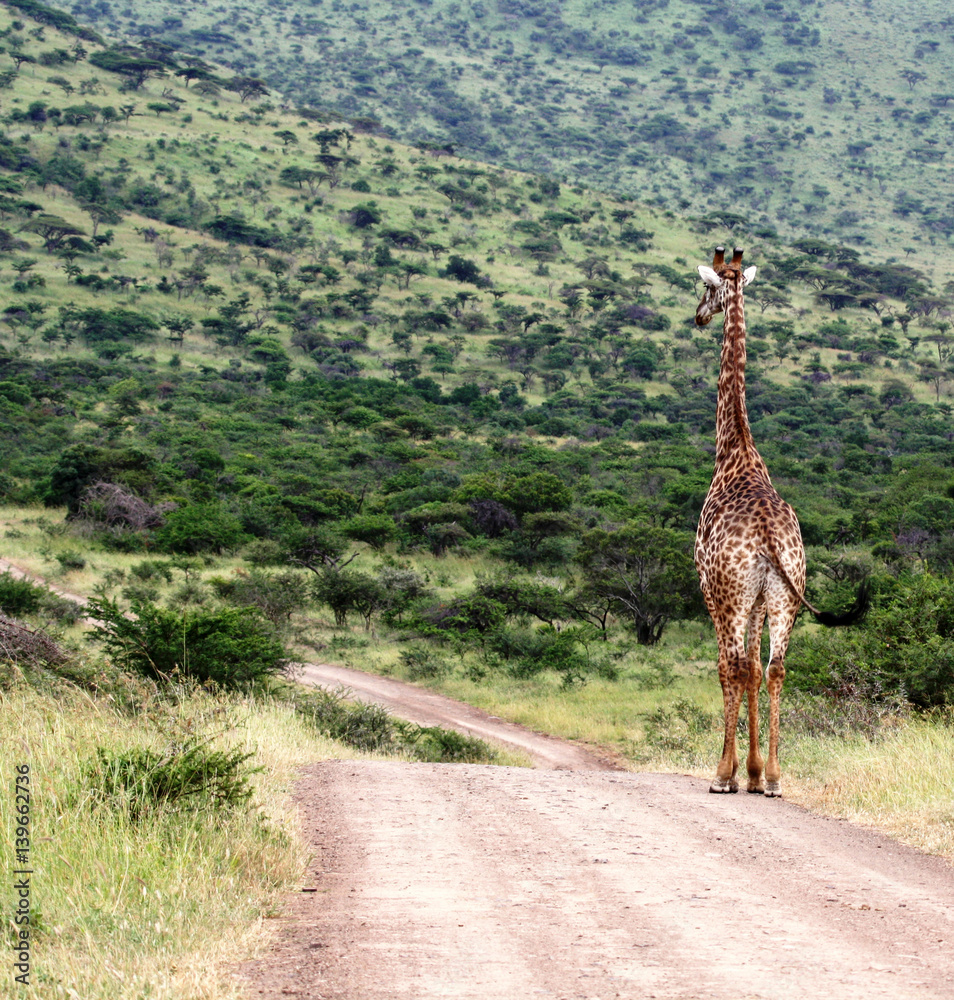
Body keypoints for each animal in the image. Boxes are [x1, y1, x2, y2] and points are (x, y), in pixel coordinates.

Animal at [693, 246, 867, 797]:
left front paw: (730, 773)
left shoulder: (711, 589)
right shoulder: (756, 600)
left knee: (735, 664)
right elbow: (753, 670)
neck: (735, 450)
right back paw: (771, 777)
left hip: (734, 596)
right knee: (775, 668)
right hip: (785, 596)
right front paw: (750, 772)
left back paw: (724, 776)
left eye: (705, 288)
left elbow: (730, 669)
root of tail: (771, 537)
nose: (698, 316)